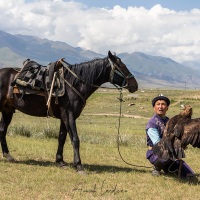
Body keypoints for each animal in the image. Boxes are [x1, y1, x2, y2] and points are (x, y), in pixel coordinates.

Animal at [0, 50, 138, 171]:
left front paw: (60, 161)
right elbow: (75, 139)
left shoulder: (64, 117)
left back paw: (8, 155)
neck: (75, 83)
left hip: (7, 110)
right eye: (122, 66)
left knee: (2, 130)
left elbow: (62, 137)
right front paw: (78, 165)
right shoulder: (69, 114)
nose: (135, 85)